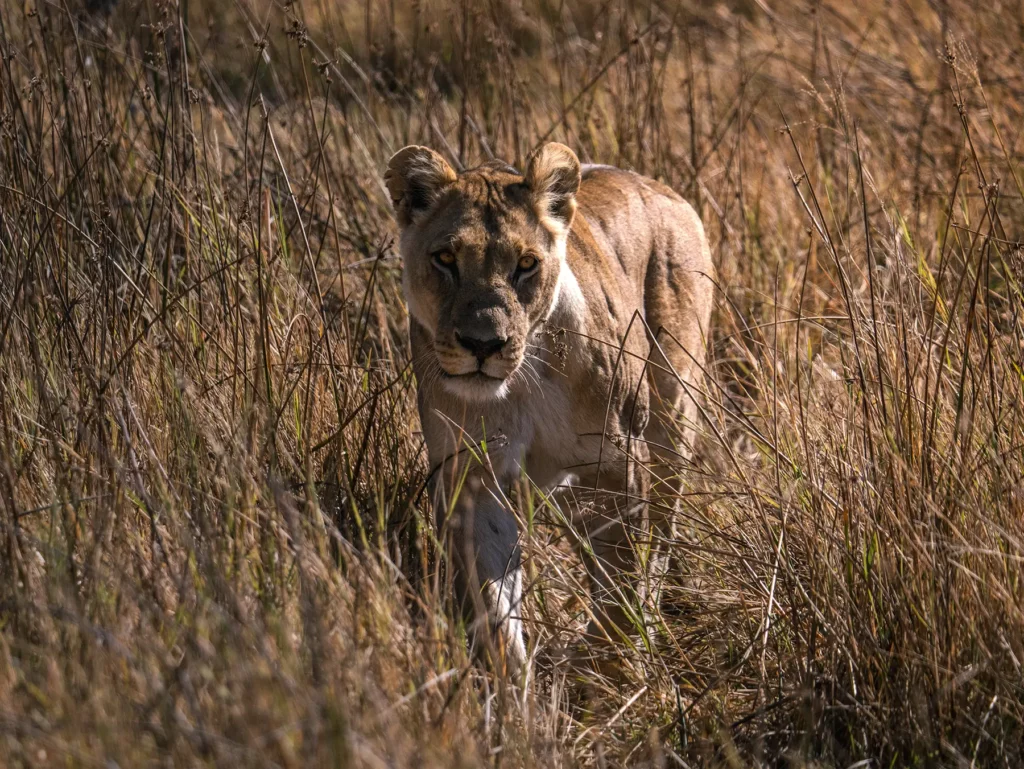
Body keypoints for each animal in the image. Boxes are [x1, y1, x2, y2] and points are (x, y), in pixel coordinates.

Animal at [385, 142, 713, 672]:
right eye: (446, 258)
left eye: (525, 264)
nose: (484, 344)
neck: (518, 386)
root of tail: (657, 185)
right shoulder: (474, 478)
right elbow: (493, 605)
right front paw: (513, 687)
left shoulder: (616, 463)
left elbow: (620, 591)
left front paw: (611, 675)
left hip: (672, 415)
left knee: (662, 537)